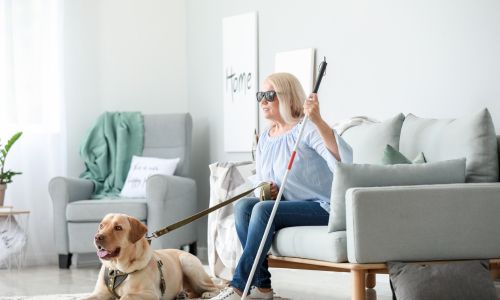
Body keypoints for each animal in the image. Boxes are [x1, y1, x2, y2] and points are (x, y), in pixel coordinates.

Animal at [84, 213, 221, 300]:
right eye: (101, 226)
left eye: (118, 228)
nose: (97, 237)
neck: (117, 270)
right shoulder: (99, 293)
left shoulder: (151, 294)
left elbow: (126, 295)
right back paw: (183, 294)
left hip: (189, 264)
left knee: (214, 287)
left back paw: (208, 294)